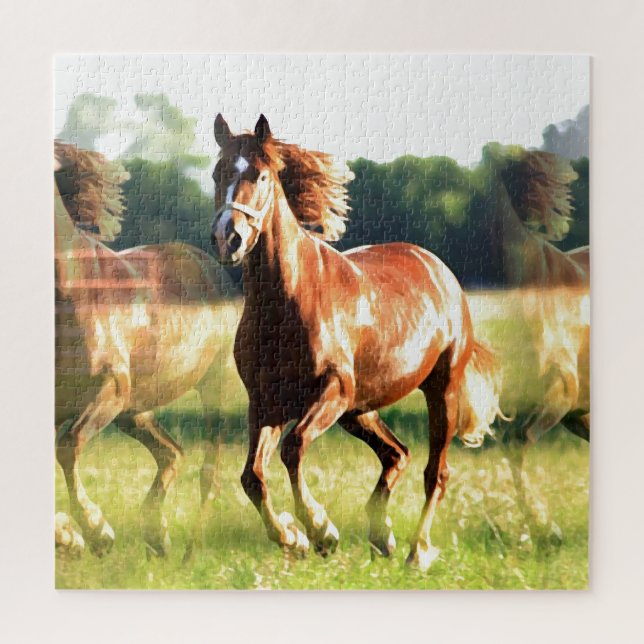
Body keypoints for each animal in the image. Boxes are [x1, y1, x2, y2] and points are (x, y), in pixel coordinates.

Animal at [54, 141, 233, 556]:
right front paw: (70, 535)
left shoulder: (110, 387)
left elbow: (67, 446)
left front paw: (95, 530)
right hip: (135, 410)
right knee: (172, 453)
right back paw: (157, 535)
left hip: (211, 386)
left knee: (209, 474)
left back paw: (186, 553)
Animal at [209, 115, 504, 570]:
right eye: (216, 173)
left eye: (260, 175)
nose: (230, 238)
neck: (289, 301)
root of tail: (440, 271)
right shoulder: (265, 403)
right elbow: (252, 477)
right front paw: (292, 538)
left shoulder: (332, 391)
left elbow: (293, 448)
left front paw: (320, 530)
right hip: (360, 410)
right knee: (396, 454)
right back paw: (382, 537)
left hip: (439, 392)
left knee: (435, 473)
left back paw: (417, 551)